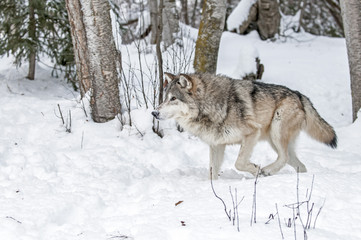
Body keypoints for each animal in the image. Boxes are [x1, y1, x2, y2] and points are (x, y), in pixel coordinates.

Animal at [150, 72, 336, 178]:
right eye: (165, 98)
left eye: (173, 98)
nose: (154, 113)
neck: (213, 106)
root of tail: (299, 94)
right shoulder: (217, 145)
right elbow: (212, 172)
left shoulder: (252, 133)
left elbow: (239, 163)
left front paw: (256, 170)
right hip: (276, 142)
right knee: (299, 165)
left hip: (276, 133)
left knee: (283, 158)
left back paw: (267, 171)